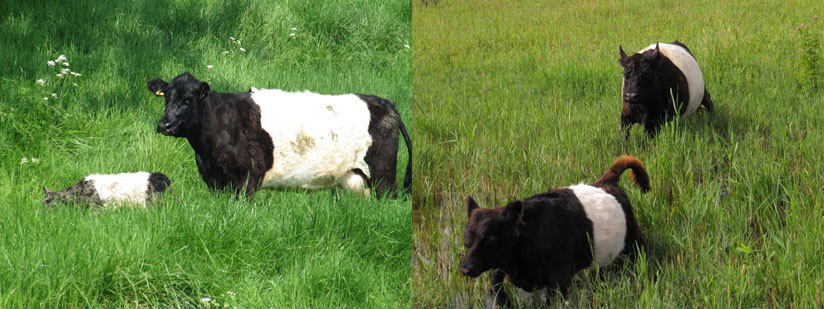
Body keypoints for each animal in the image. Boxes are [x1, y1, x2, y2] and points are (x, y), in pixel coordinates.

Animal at [148, 73, 412, 195]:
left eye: (188, 99)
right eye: (166, 98)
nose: (164, 125)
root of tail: (387, 104)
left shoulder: (247, 179)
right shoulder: (215, 181)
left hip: (383, 175)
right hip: (355, 180)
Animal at [460, 155, 648, 304]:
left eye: (491, 238)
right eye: (466, 241)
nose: (465, 268)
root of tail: (605, 182)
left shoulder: (559, 278)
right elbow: (496, 284)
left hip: (633, 240)